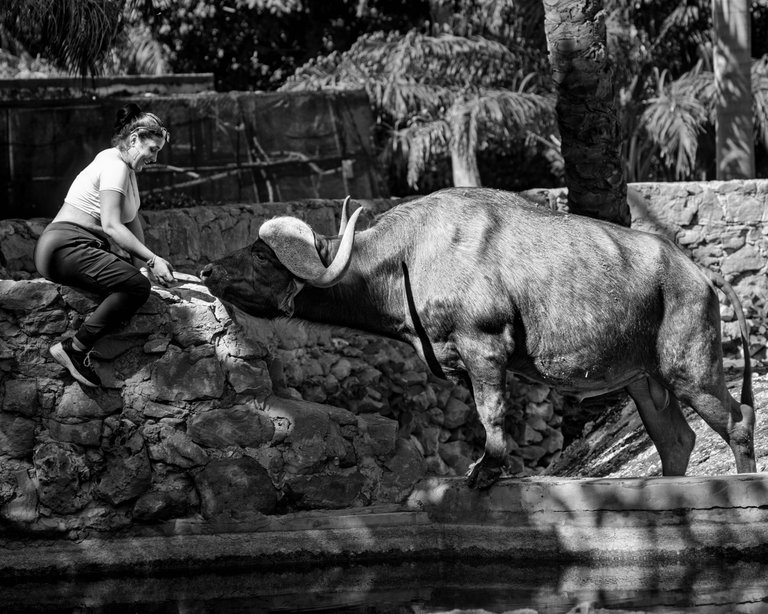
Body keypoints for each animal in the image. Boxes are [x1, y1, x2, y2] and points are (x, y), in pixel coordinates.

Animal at [201, 187, 756, 488]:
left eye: (261, 254)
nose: (207, 269)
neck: (409, 257)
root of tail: (698, 273)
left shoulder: (484, 348)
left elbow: (490, 412)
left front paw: (486, 469)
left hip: (691, 370)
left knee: (738, 420)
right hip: (645, 383)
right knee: (678, 441)